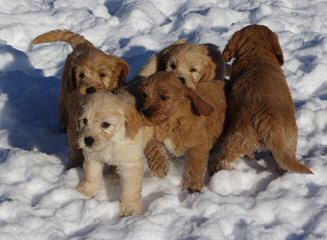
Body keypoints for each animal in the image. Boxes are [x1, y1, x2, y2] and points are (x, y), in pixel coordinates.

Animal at [31, 30, 129, 168]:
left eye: (102, 75)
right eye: (81, 75)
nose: (90, 89)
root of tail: (83, 44)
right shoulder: (75, 124)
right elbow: (76, 146)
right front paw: (74, 166)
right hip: (65, 95)